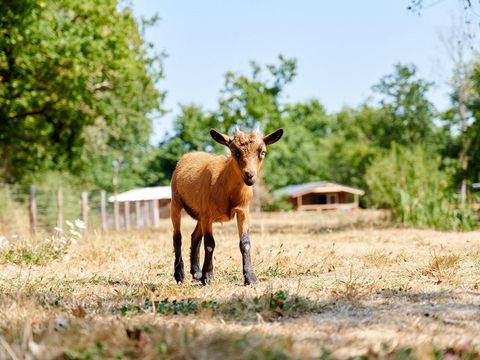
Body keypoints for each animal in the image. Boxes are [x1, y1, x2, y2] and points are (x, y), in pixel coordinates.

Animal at [171, 128, 284, 286]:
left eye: (262, 152)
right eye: (235, 152)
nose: (249, 175)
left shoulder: (243, 210)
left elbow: (245, 243)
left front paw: (251, 278)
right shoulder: (207, 215)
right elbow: (210, 244)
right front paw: (208, 277)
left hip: (200, 214)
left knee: (194, 236)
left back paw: (196, 272)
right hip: (175, 202)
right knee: (177, 236)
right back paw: (179, 275)